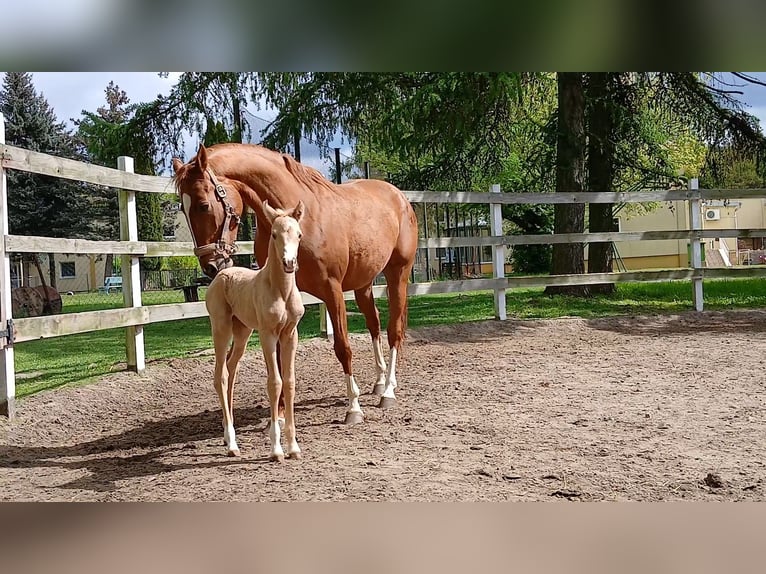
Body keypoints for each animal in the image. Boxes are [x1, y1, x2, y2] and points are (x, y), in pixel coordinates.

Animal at [172, 143, 418, 425]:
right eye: (182, 208)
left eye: (203, 205)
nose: (211, 266)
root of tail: (399, 197)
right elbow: (279, 357)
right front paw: (278, 414)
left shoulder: (332, 290)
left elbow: (343, 347)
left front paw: (353, 408)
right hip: (363, 285)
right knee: (374, 325)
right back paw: (379, 382)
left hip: (397, 275)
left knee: (393, 330)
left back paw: (388, 390)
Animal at [205, 200, 306, 461]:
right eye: (274, 234)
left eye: (299, 235)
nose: (289, 263)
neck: (281, 291)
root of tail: (221, 274)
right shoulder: (268, 334)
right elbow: (275, 383)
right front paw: (276, 450)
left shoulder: (290, 334)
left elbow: (289, 382)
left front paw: (294, 447)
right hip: (221, 328)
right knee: (220, 375)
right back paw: (232, 443)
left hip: (242, 331)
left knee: (231, 369)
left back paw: (226, 433)